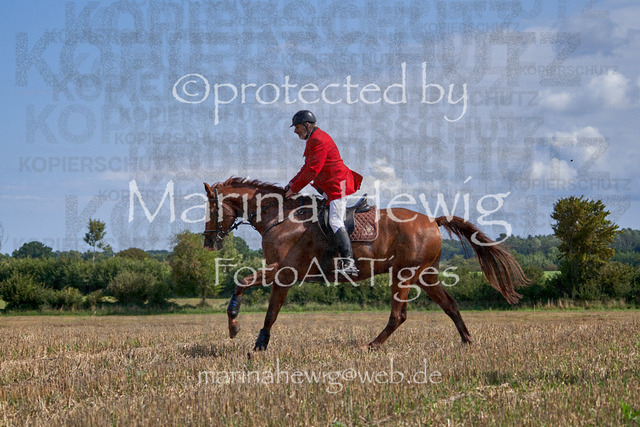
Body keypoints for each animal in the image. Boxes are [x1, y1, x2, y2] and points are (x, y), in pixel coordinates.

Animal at [203, 177, 529, 351]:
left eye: (211, 209)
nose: (207, 242)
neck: (281, 217)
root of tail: (432, 220)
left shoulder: (282, 271)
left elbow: (245, 286)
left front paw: (235, 326)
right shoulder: (283, 276)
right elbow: (269, 309)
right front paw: (258, 343)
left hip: (403, 275)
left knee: (399, 315)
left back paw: (371, 346)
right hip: (426, 276)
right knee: (450, 305)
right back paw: (467, 341)